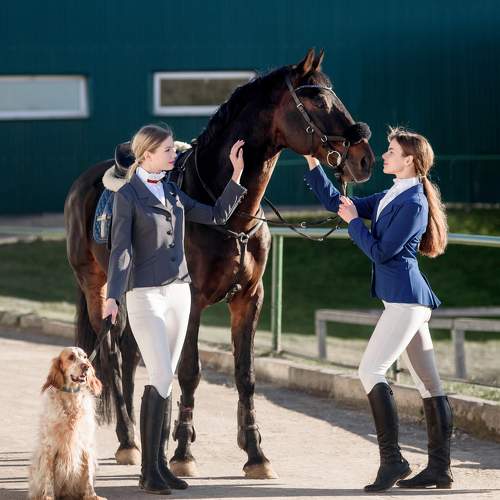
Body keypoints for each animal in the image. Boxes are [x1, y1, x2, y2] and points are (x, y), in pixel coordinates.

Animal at [29, 347, 106, 500]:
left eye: (85, 357)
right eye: (71, 357)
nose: (86, 366)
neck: (72, 398)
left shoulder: (86, 444)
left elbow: (88, 474)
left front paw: (92, 495)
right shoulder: (50, 446)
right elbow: (49, 476)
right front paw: (48, 496)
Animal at [64, 48, 375, 479]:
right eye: (318, 102)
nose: (364, 159)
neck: (227, 213)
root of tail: (83, 185)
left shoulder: (249, 299)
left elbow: (245, 374)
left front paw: (255, 453)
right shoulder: (192, 300)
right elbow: (190, 371)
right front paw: (182, 452)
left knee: (130, 352)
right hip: (97, 288)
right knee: (109, 355)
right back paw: (127, 441)